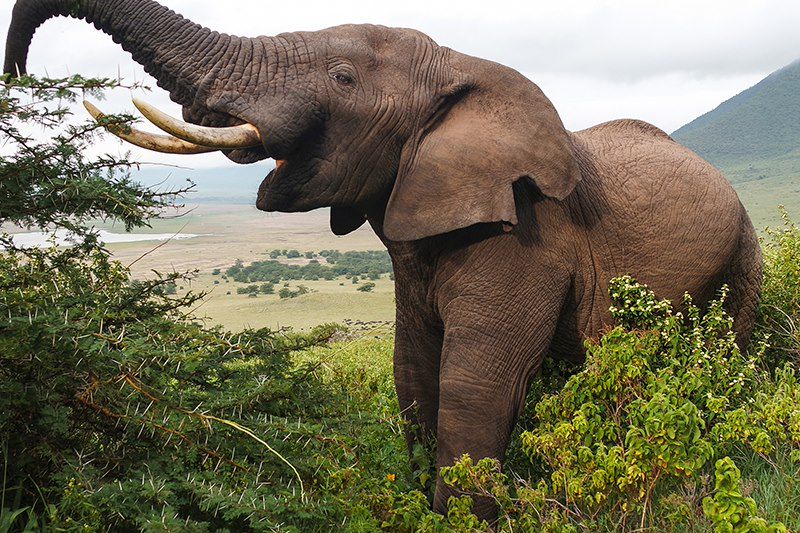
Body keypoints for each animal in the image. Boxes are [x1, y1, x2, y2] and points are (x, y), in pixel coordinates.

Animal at [4, 0, 764, 520]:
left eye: (342, 78)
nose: (18, 75)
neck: (462, 63)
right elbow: (412, 374)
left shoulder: (527, 234)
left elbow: (473, 385)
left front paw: (461, 520)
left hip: (744, 248)